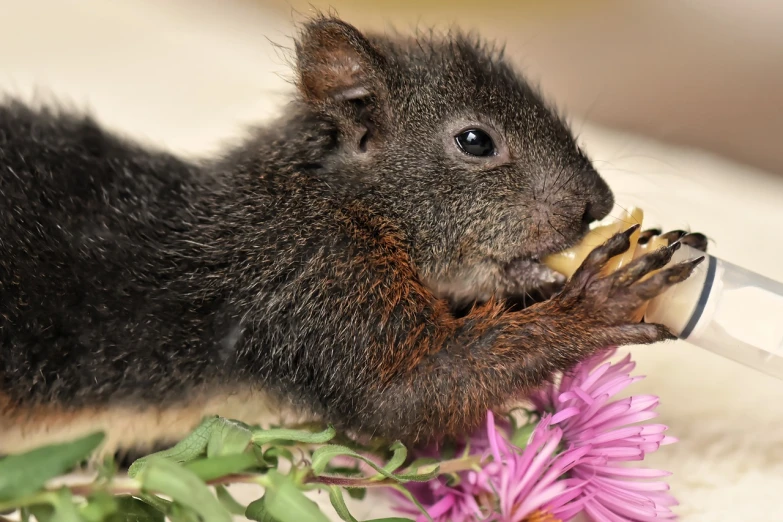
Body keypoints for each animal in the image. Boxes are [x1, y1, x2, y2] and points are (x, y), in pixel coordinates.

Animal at [1, 15, 712, 456]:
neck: (329, 199)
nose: (598, 204)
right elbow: (404, 396)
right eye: (475, 141)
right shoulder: (308, 275)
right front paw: (600, 302)